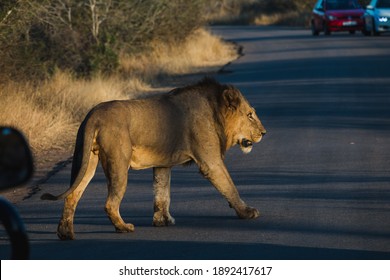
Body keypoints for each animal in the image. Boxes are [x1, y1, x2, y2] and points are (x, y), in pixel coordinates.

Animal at [41, 77, 266, 240]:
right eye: (250, 115)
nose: (264, 133)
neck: (214, 110)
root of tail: (93, 115)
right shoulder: (210, 161)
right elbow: (230, 187)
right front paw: (247, 212)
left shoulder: (162, 164)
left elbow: (162, 192)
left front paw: (162, 220)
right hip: (118, 163)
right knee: (110, 203)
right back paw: (123, 227)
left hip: (85, 160)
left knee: (72, 194)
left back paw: (65, 233)